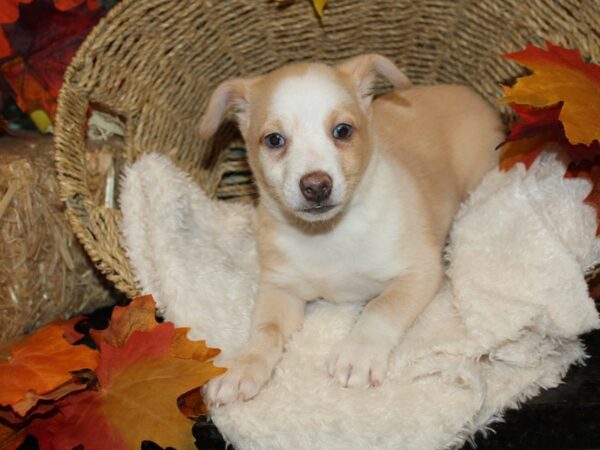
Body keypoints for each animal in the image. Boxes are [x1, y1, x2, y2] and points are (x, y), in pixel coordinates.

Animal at [199, 54, 504, 406]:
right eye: (274, 139)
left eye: (342, 131)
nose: (316, 186)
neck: (326, 236)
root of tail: (473, 96)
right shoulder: (280, 288)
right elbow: (266, 330)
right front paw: (245, 364)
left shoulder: (419, 272)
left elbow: (380, 307)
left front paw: (358, 352)